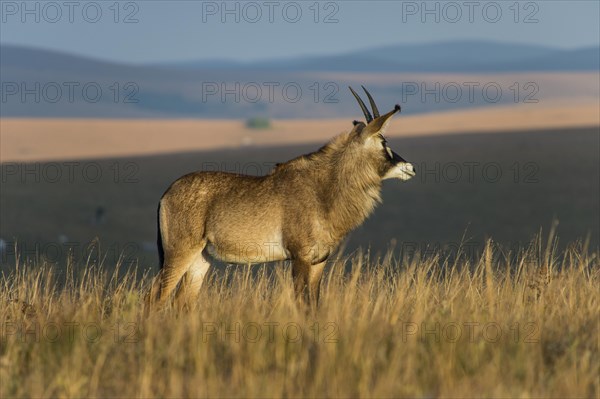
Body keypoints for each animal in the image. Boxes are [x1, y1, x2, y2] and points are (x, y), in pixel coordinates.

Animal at [148, 87, 414, 310]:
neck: (323, 189)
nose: (410, 167)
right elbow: (302, 305)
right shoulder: (300, 258)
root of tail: (166, 194)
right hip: (179, 253)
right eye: (383, 142)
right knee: (155, 297)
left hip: (200, 260)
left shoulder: (319, 262)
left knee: (181, 303)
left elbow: (314, 306)